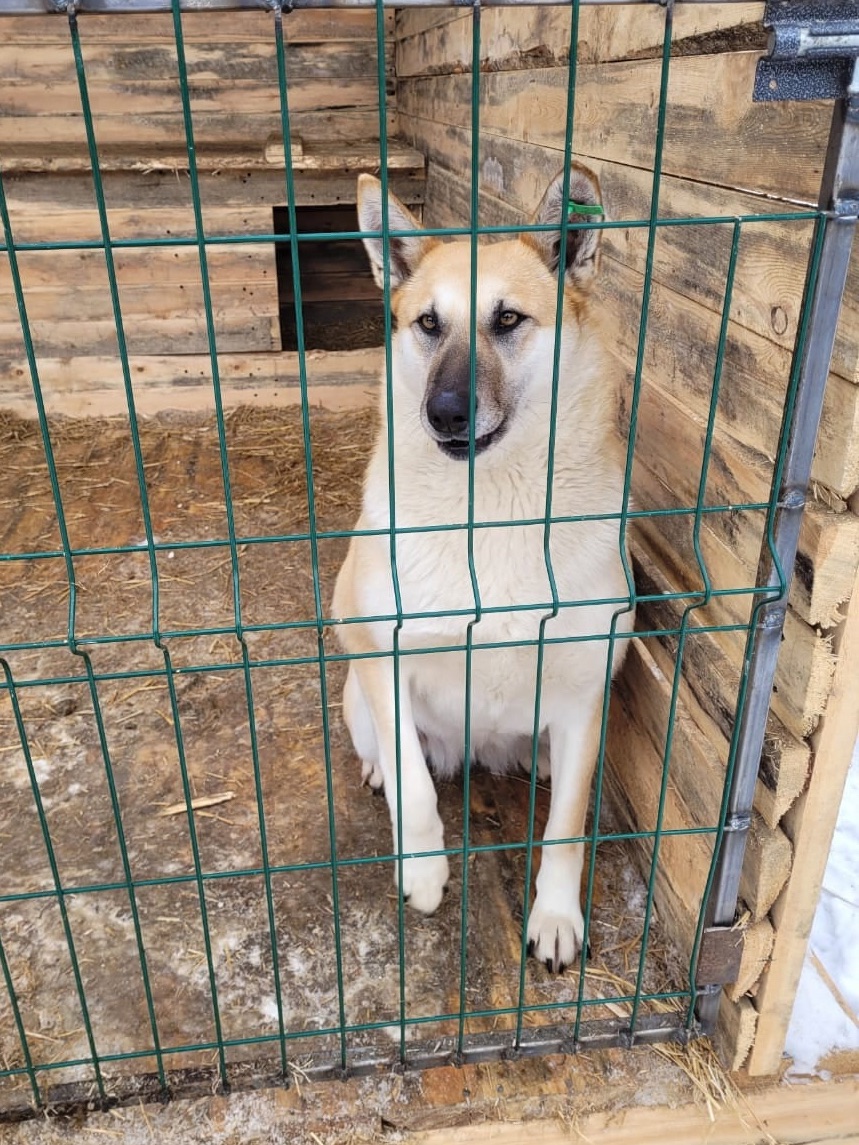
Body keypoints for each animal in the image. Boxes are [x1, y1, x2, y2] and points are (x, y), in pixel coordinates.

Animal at [332, 165, 634, 973]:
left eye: (507, 320)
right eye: (428, 325)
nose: (443, 414)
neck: (490, 512)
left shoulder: (584, 689)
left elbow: (566, 830)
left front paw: (555, 916)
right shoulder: (381, 652)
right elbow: (413, 785)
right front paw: (423, 869)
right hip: (355, 692)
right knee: (390, 751)